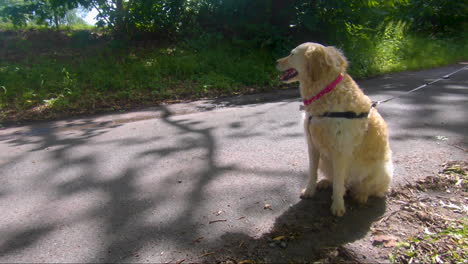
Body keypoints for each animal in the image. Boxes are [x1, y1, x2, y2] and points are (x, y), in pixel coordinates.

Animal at [276, 42, 394, 217]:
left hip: (383, 169)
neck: (325, 90)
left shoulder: (340, 151)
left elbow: (339, 183)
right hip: (325, 161)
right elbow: (312, 172)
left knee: (369, 187)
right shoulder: (312, 145)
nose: (275, 62)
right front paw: (310, 191)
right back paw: (325, 182)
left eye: (292, 54)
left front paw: (337, 206)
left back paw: (361, 195)